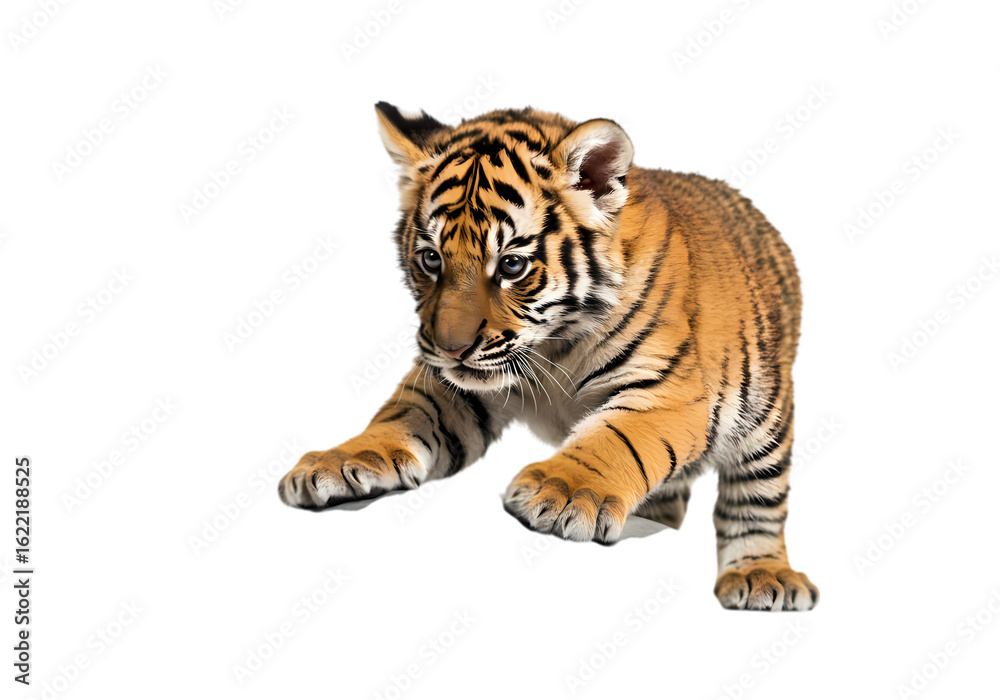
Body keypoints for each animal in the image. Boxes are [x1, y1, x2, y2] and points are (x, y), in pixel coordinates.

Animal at [278, 102, 819, 611]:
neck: (555, 343)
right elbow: (403, 416)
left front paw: (563, 492)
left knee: (756, 503)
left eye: (512, 265)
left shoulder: (670, 392)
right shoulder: (456, 388)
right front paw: (338, 462)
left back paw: (762, 576)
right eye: (431, 259)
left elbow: (617, 438)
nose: (452, 348)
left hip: (766, 422)